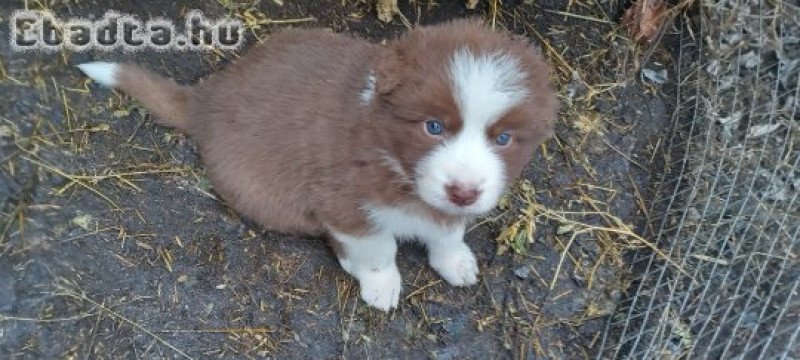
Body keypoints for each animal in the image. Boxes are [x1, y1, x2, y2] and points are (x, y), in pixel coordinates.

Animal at [78, 18, 560, 310]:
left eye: (503, 138)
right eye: (433, 127)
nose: (464, 191)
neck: (395, 162)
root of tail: (206, 100)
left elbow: (448, 230)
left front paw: (455, 260)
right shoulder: (346, 206)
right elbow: (378, 248)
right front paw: (381, 285)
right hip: (272, 198)